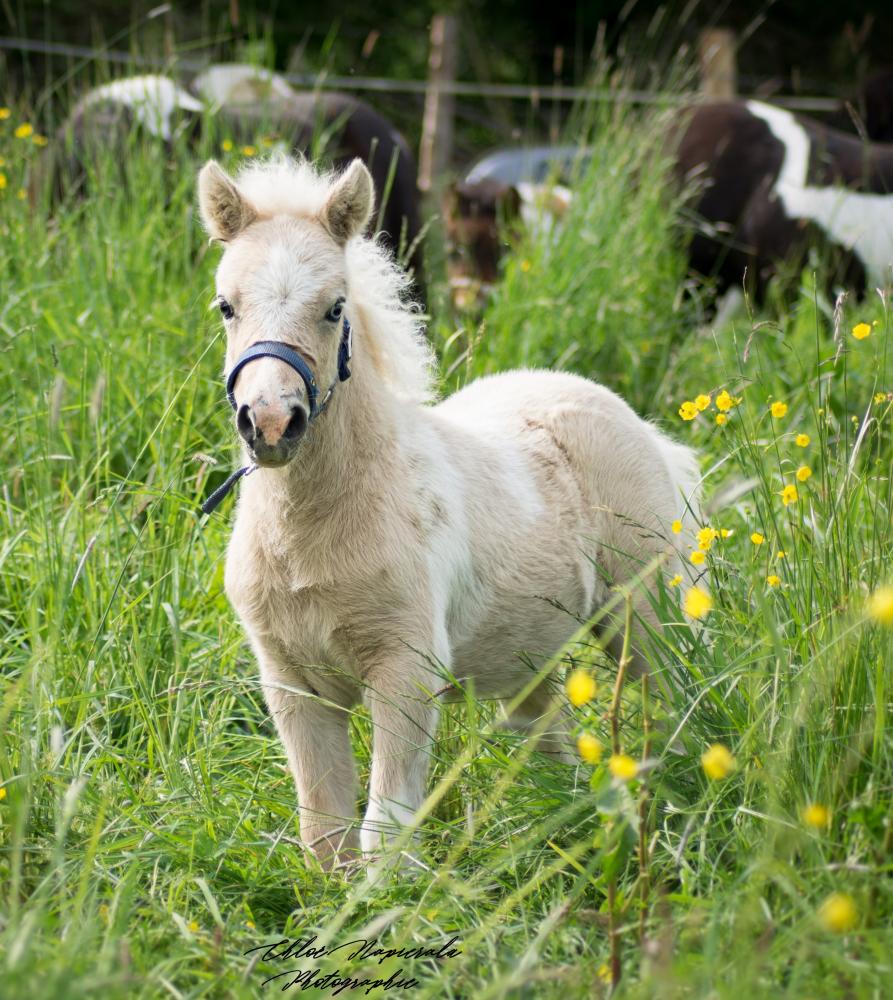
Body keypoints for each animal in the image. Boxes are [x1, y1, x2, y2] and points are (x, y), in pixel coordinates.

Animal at [199, 154, 700, 868]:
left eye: (334, 307)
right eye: (226, 306)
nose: (270, 423)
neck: (313, 533)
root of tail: (646, 431)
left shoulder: (407, 667)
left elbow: (384, 827)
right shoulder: (292, 683)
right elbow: (324, 831)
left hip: (644, 615)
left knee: (676, 703)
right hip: (529, 659)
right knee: (556, 744)